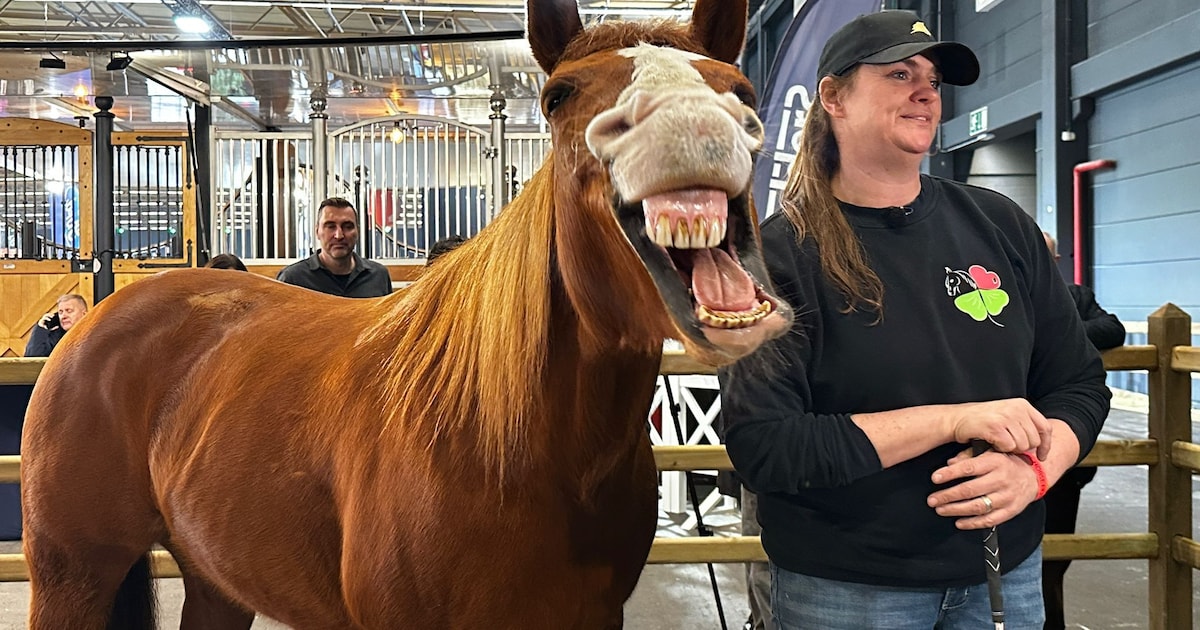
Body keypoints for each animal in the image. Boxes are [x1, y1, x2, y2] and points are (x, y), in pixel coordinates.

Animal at [20, 0, 792, 627]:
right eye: (558, 95)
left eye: (740, 89)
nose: (695, 128)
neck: (507, 438)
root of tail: (95, 325)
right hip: (72, 576)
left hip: (217, 580)